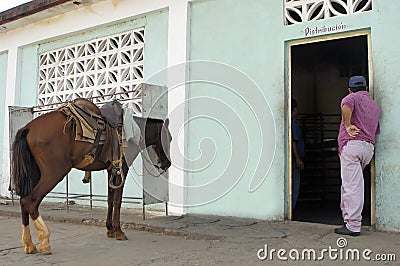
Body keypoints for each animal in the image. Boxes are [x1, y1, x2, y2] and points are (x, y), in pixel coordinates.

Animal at [10, 104, 170, 254]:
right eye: (169, 138)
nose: (166, 164)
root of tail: (28, 128)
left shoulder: (111, 170)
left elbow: (110, 200)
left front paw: (110, 229)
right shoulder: (121, 169)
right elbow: (117, 201)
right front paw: (119, 231)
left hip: (34, 174)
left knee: (23, 201)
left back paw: (30, 245)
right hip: (54, 173)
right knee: (30, 201)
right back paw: (44, 241)